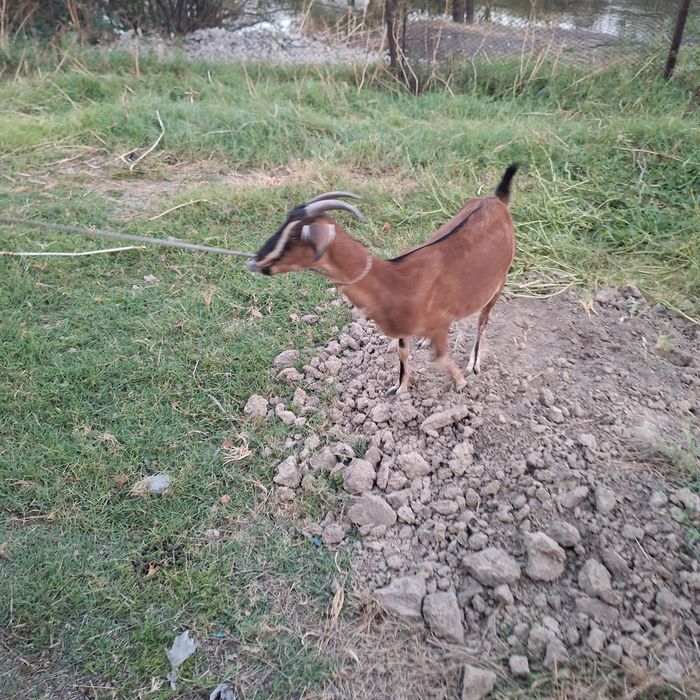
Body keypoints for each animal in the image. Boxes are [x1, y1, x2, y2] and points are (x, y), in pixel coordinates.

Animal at [247, 164, 518, 396]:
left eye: (296, 235)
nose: (256, 261)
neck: (391, 280)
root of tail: (495, 200)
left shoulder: (437, 322)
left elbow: (440, 357)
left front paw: (461, 383)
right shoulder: (405, 329)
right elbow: (403, 354)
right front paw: (399, 388)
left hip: (500, 280)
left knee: (483, 321)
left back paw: (474, 363)